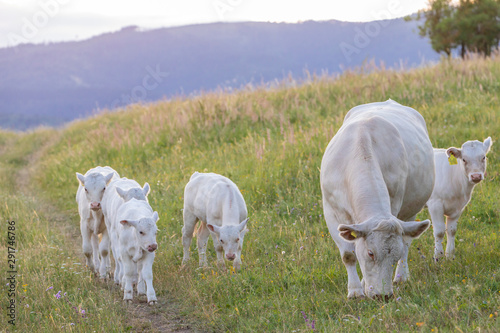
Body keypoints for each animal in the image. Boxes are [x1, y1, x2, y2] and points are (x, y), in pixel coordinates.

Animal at [320, 99, 434, 298]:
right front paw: (355, 291)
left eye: (394, 257)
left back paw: (401, 276)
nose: (383, 296)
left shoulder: (395, 205)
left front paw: (364, 285)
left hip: (410, 212)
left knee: (407, 243)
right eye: (371, 253)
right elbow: (348, 255)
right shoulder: (330, 211)